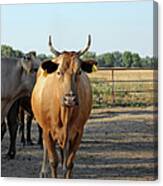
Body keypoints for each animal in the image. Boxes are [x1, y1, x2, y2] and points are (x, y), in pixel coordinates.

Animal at [31, 35, 97, 179]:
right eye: (59, 72)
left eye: (79, 72)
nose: (70, 98)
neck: (65, 112)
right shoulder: (47, 131)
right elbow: (53, 160)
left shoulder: (78, 132)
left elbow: (70, 163)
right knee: (45, 148)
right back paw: (43, 171)